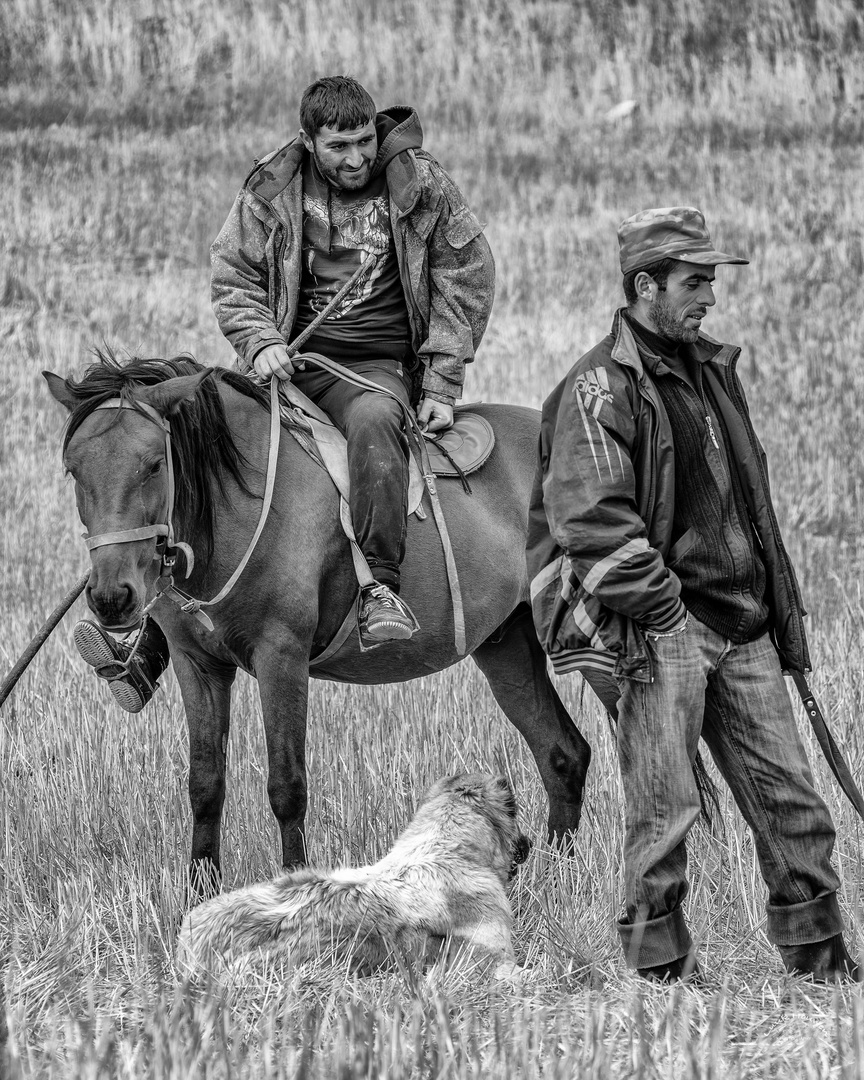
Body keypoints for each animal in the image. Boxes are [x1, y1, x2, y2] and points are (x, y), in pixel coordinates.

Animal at [43, 356, 591, 894]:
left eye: (155, 464)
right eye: (74, 470)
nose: (111, 598)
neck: (240, 505)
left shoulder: (281, 656)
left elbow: (287, 785)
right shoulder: (196, 664)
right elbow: (205, 782)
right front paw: (198, 895)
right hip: (506, 647)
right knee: (562, 754)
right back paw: (556, 883)